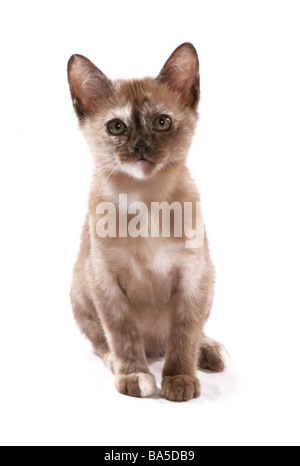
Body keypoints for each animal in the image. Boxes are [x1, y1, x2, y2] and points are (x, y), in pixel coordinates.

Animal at [68, 41, 229, 402]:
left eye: (162, 122)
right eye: (117, 126)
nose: (141, 146)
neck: (144, 199)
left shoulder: (192, 275)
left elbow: (184, 333)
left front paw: (180, 378)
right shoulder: (105, 281)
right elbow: (122, 333)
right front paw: (134, 375)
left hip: (210, 280)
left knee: (190, 334)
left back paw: (209, 350)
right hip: (80, 293)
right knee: (103, 343)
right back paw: (119, 363)